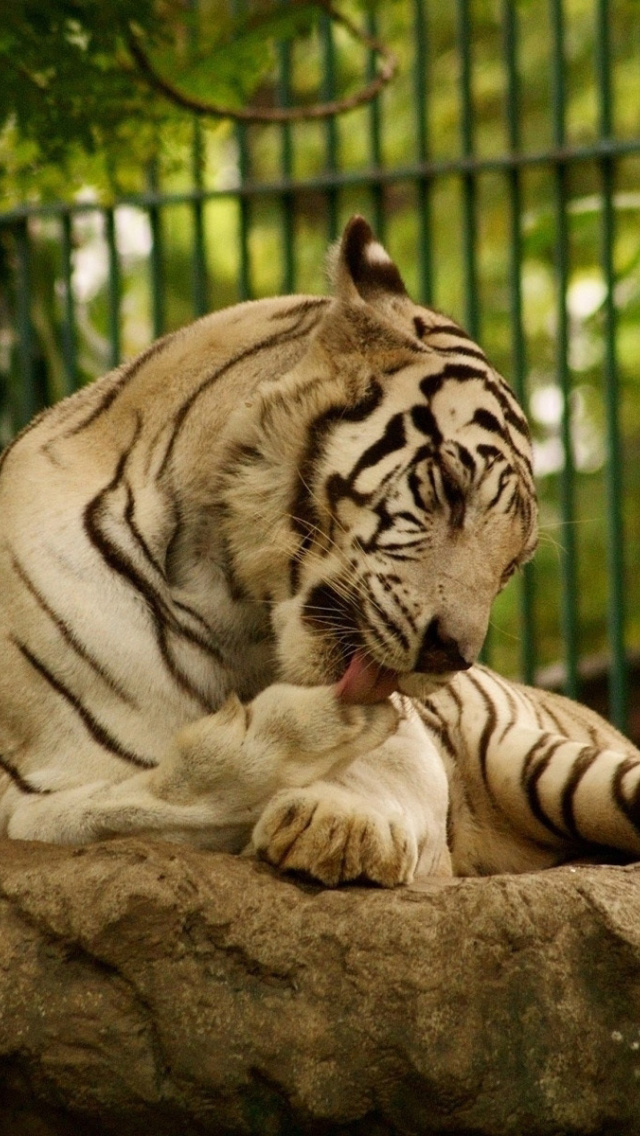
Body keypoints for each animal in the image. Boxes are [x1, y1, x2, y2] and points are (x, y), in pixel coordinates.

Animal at [0, 216, 636, 881]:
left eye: (511, 565)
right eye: (450, 487)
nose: (452, 655)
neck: (226, 601)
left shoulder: (413, 744)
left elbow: (386, 774)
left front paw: (338, 824)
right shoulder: (31, 788)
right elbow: (116, 807)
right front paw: (312, 732)